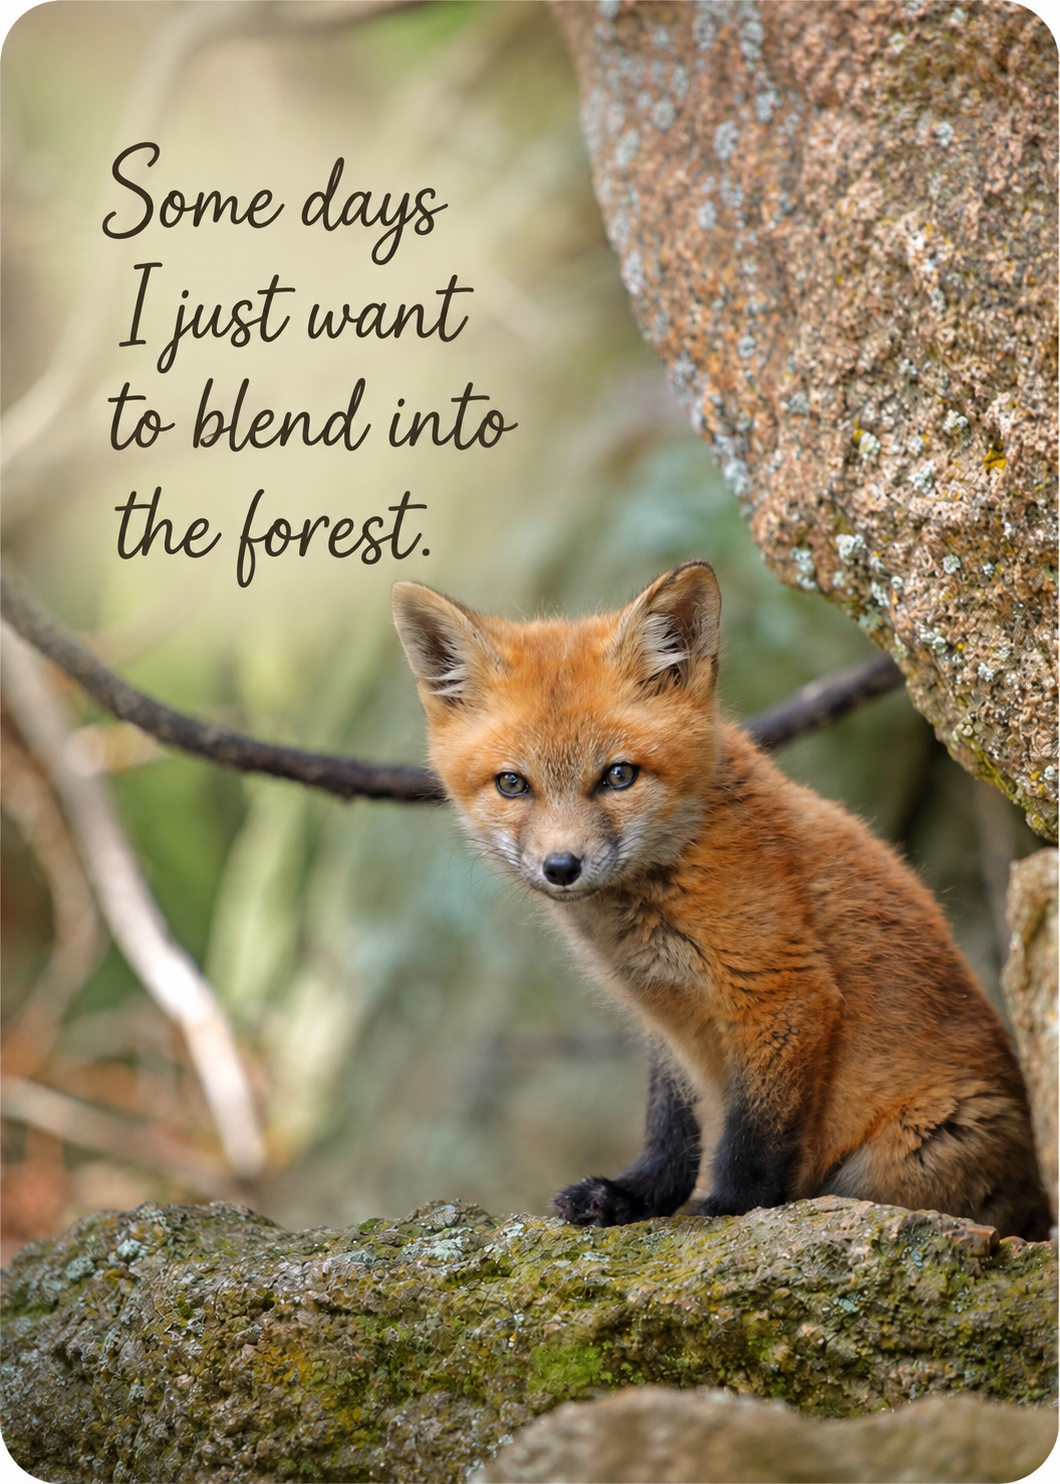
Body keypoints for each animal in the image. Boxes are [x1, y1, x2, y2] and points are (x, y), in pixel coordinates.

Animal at [392, 560, 1050, 1239]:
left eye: (619, 776)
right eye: (512, 784)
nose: (562, 868)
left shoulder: (782, 990)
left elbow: (752, 1138)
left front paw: (730, 1210)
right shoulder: (667, 1015)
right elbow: (671, 1127)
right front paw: (636, 1196)